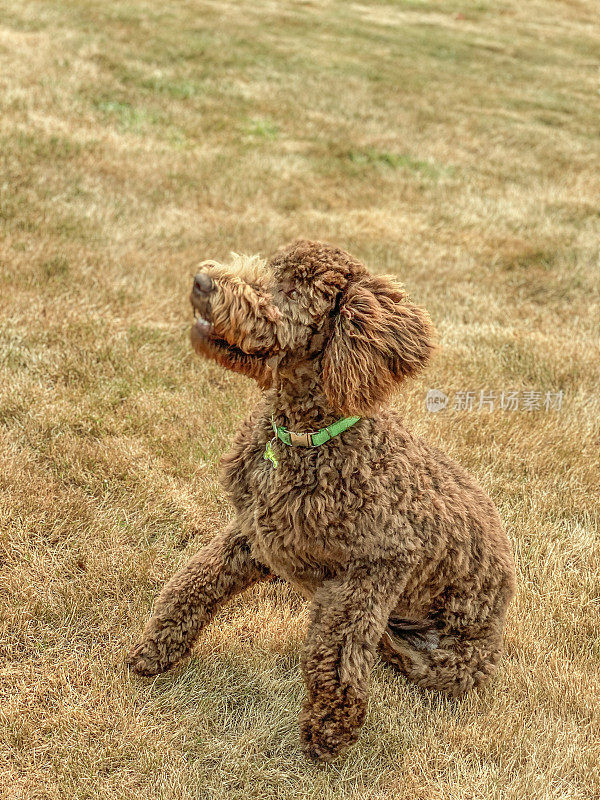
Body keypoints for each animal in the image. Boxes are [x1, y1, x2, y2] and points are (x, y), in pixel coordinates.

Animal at [129, 239, 516, 764]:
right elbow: (195, 581)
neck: (306, 440)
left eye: (294, 292)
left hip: (452, 662)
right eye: (272, 264)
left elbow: (336, 652)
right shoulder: (254, 530)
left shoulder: (378, 567)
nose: (202, 281)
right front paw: (155, 650)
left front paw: (329, 731)